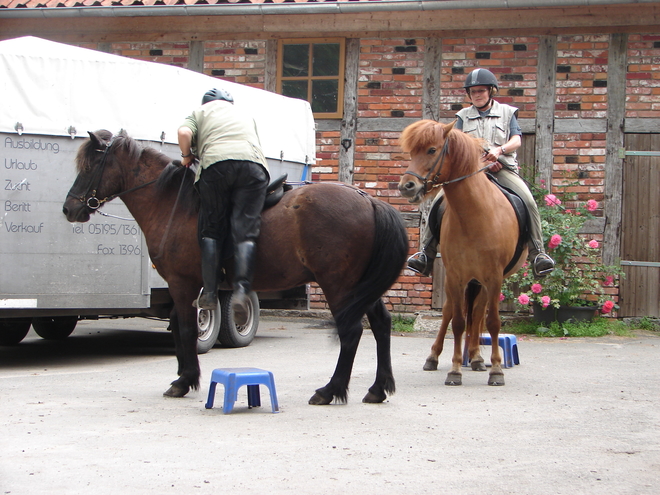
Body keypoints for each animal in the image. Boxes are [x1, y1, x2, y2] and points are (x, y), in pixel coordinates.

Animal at [64, 130, 410, 404]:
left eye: (90, 165)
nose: (70, 208)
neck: (175, 204)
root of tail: (367, 199)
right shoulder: (188, 286)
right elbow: (178, 325)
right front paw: (184, 374)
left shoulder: (181, 283)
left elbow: (187, 327)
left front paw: (185, 380)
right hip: (360, 288)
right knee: (381, 325)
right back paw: (378, 389)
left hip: (338, 285)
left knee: (351, 332)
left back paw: (330, 390)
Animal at [398, 120, 524, 388]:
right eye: (412, 152)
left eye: (432, 150)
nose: (406, 186)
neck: (475, 215)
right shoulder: (455, 276)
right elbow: (457, 322)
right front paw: (455, 370)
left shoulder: (494, 277)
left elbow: (492, 322)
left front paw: (496, 370)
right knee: (451, 313)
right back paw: (435, 357)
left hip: (483, 282)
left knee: (477, 313)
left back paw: (477, 358)